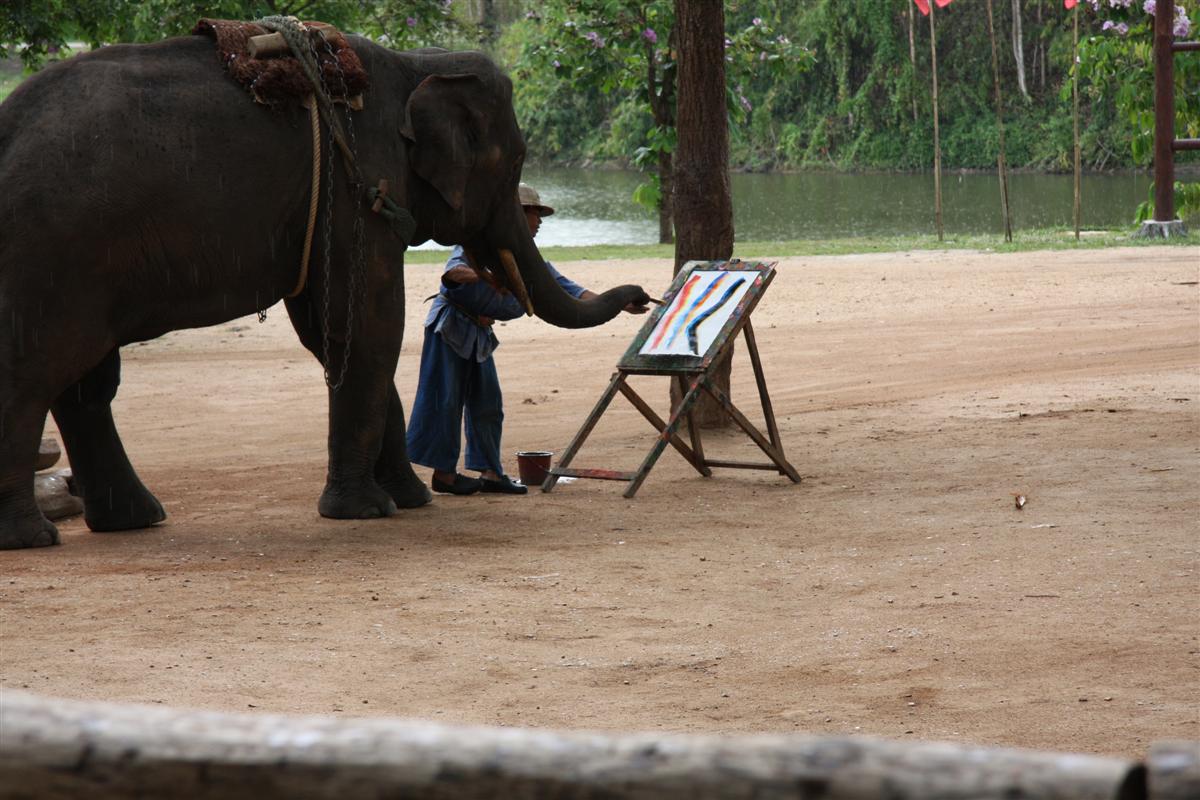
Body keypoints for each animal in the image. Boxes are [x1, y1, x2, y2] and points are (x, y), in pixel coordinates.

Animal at [0, 30, 650, 550]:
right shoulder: (360, 182)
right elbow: (369, 323)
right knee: (36, 375)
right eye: (514, 160)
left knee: (84, 384)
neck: (414, 62)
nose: (642, 295)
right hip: (52, 250)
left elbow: (329, 332)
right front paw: (366, 511)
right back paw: (32, 538)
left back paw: (135, 520)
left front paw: (408, 500)